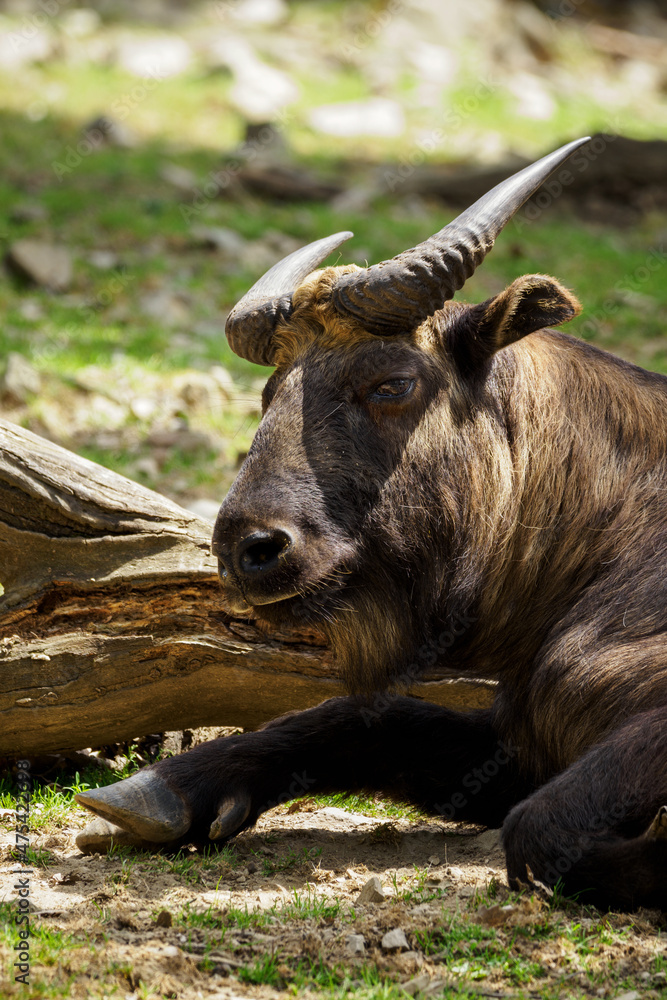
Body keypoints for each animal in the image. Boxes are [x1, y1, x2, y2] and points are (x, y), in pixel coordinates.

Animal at [76, 138, 667, 911]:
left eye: (392, 382)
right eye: (270, 391)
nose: (246, 549)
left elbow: (535, 828)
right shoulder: (517, 742)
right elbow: (366, 715)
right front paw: (165, 788)